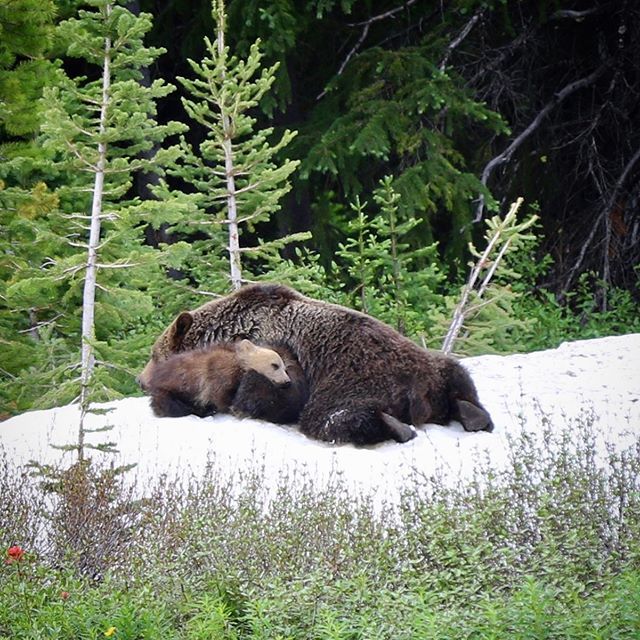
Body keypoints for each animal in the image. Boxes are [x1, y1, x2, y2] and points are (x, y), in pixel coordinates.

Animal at [141, 339, 291, 419]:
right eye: (275, 365)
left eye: (284, 367)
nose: (287, 382)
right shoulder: (219, 370)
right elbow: (220, 393)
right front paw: (231, 407)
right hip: (169, 390)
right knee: (172, 405)